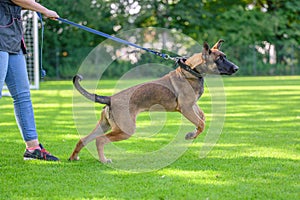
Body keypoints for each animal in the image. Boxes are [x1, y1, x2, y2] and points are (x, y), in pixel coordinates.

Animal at [69, 39, 238, 162]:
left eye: (225, 56)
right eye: (219, 59)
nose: (236, 68)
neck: (191, 70)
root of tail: (110, 99)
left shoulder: (192, 106)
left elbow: (202, 117)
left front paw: (192, 132)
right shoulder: (186, 108)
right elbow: (202, 124)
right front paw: (191, 135)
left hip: (104, 125)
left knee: (83, 139)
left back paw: (73, 157)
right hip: (125, 130)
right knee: (100, 140)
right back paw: (104, 160)